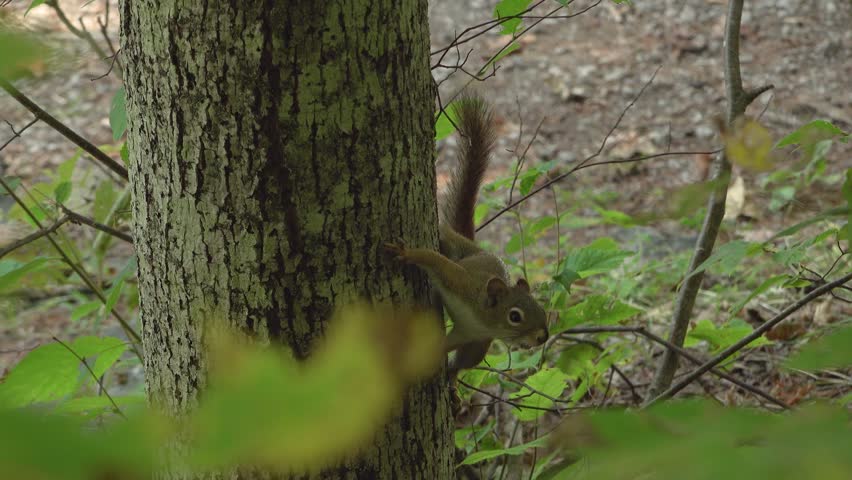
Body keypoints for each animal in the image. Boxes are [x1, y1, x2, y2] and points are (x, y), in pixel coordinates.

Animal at [385, 96, 549, 376]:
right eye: (515, 316)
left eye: (539, 307)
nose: (543, 337)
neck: (481, 320)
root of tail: (476, 248)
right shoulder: (461, 283)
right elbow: (435, 261)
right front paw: (406, 253)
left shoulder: (469, 334)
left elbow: (443, 347)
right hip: (453, 243)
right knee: (445, 240)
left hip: (478, 346)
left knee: (468, 359)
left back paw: (452, 376)